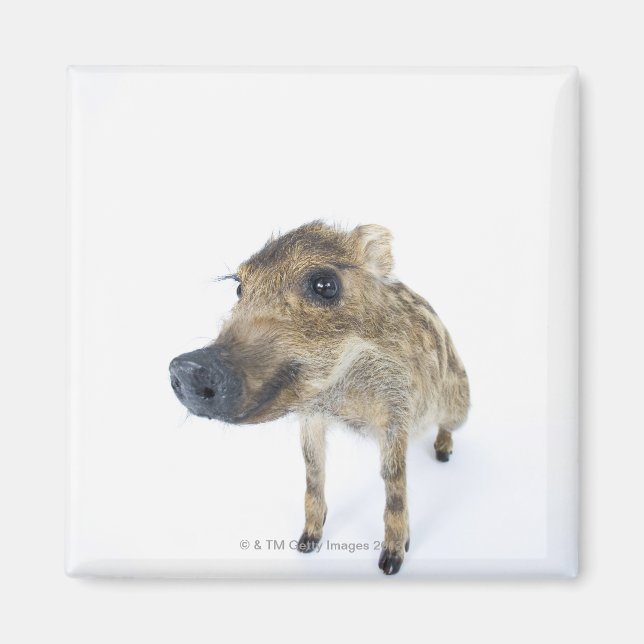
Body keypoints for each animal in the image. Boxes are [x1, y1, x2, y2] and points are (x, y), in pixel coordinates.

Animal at [169, 221, 470, 575]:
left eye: (325, 285)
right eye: (239, 289)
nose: (189, 367)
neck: (341, 392)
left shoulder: (397, 411)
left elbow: (394, 481)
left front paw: (391, 563)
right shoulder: (311, 416)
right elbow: (313, 471)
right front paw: (306, 543)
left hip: (459, 404)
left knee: (448, 426)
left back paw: (443, 454)